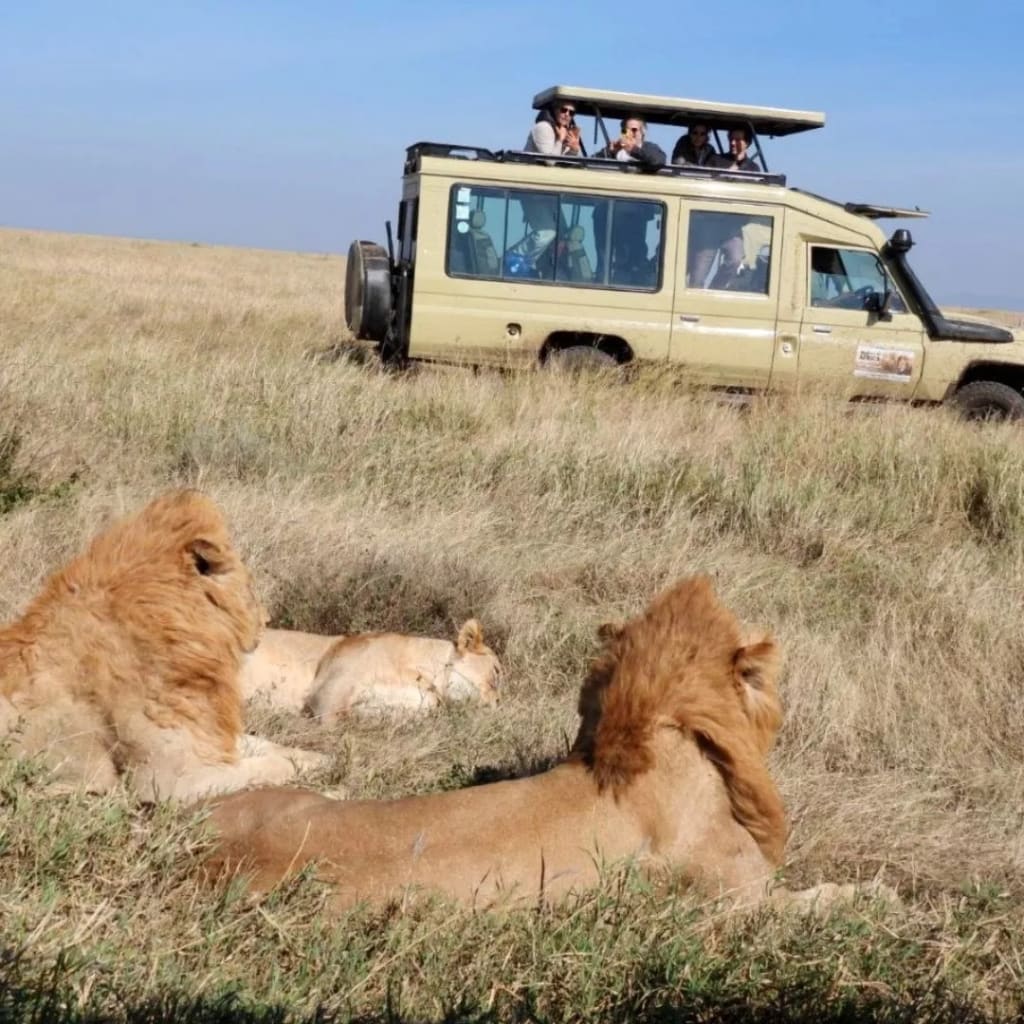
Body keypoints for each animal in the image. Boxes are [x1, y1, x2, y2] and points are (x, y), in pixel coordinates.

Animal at [0, 490, 327, 802]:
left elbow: (265, 745)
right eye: (251, 587)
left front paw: (318, 756)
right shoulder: (171, 779)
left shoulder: (208, 734)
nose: (267, 620)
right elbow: (267, 767)